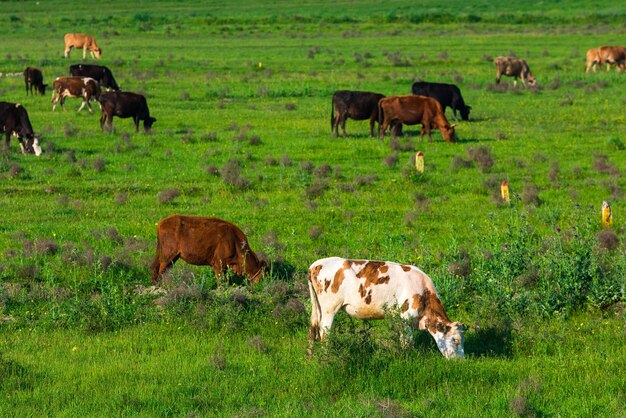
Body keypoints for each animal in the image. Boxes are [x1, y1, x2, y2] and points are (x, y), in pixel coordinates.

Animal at [308, 256, 464, 358]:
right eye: (455, 340)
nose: (461, 361)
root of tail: (316, 264)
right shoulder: (405, 316)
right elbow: (407, 341)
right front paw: (407, 357)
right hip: (329, 308)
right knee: (324, 332)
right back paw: (326, 357)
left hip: (318, 308)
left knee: (312, 329)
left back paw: (310, 357)